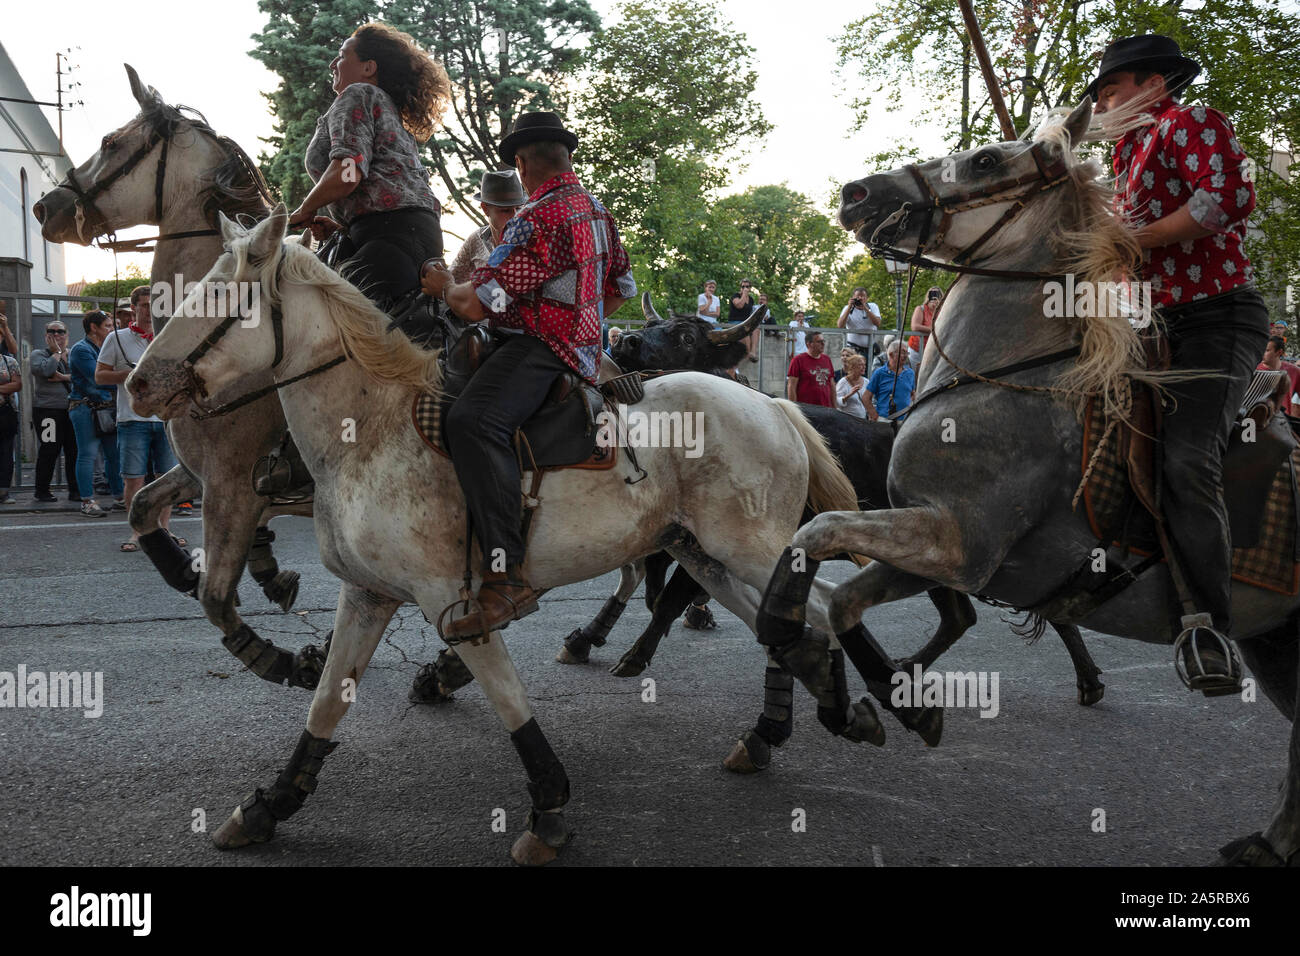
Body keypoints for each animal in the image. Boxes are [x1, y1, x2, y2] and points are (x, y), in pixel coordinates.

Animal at [126, 205, 909, 863]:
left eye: (221, 299)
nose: (137, 384)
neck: (370, 427)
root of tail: (774, 405)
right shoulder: (367, 595)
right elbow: (325, 703)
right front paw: (269, 805)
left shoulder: (452, 601)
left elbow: (509, 702)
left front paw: (548, 808)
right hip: (706, 554)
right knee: (790, 623)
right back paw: (805, 716)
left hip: (748, 546)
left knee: (815, 608)